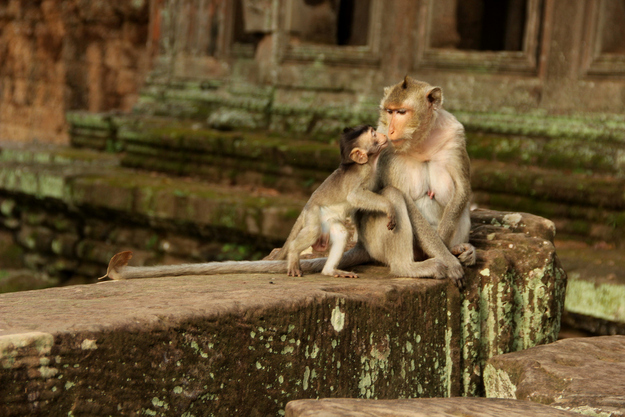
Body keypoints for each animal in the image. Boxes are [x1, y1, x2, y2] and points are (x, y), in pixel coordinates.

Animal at [272, 125, 394, 278]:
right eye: (373, 134)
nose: (383, 135)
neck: (369, 162)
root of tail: (306, 206)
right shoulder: (362, 173)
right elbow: (354, 196)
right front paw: (388, 206)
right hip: (314, 213)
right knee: (313, 231)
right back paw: (294, 252)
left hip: (328, 220)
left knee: (341, 234)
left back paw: (330, 270)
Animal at [334, 76, 476, 288]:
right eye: (389, 111)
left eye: (401, 112)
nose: (392, 130)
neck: (421, 140)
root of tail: (362, 245)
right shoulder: (384, 148)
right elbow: (405, 199)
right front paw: (447, 257)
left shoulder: (455, 135)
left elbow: (462, 188)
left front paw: (446, 245)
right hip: (375, 242)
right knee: (392, 195)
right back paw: (410, 268)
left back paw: (461, 249)